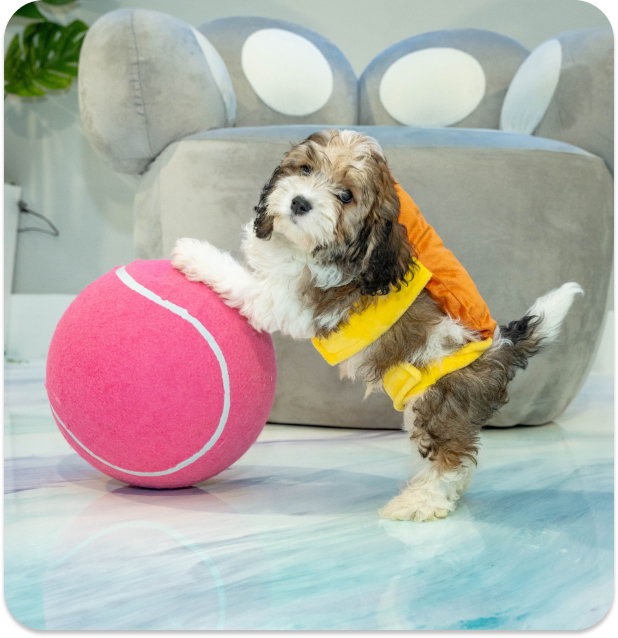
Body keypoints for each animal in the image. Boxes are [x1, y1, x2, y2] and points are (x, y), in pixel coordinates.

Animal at [171, 130, 580, 524]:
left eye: (345, 195)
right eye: (305, 169)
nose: (300, 203)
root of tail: (500, 349)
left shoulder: (285, 298)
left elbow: (241, 281)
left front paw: (192, 252)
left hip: (440, 398)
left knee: (450, 453)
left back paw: (420, 502)